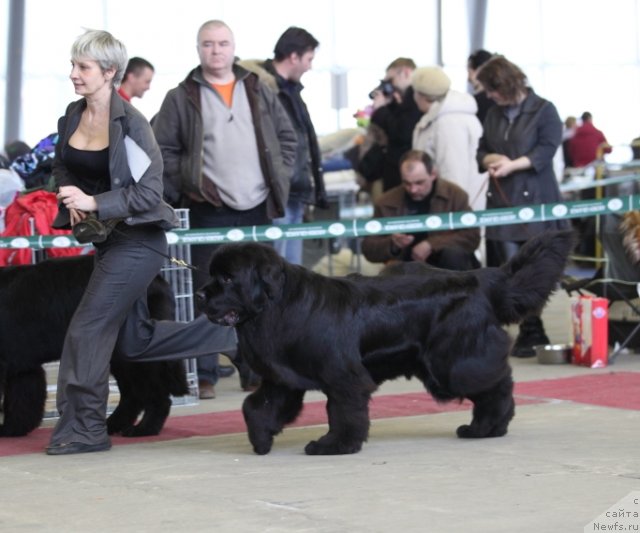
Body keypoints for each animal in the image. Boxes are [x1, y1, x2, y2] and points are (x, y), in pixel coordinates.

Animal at [0, 255, 189, 436]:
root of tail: (159, 281)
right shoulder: (22, 366)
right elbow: (21, 399)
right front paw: (12, 429)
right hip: (119, 358)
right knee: (132, 394)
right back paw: (112, 425)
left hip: (133, 352)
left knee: (154, 393)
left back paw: (143, 429)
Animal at [196, 231, 576, 456]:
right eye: (213, 275)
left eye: (227, 278)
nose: (200, 294)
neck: (277, 305)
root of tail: (481, 278)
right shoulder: (283, 378)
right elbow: (255, 406)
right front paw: (261, 440)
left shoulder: (343, 377)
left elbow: (343, 412)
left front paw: (335, 445)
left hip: (453, 362)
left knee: (497, 384)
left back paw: (484, 428)